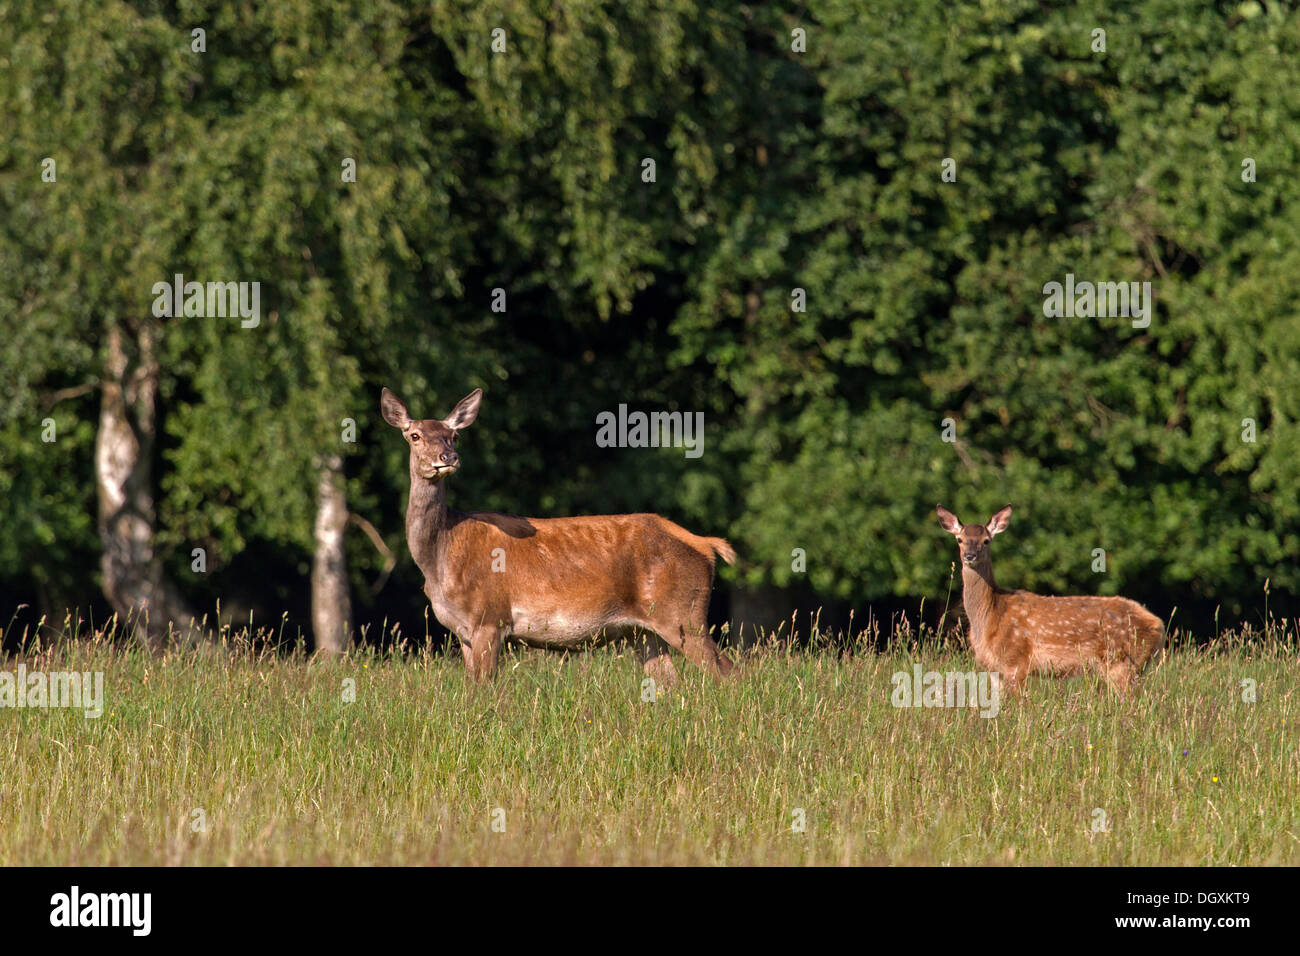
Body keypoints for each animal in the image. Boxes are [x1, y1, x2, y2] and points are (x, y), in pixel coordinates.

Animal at [379, 390, 738, 686]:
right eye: (414, 435)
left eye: (454, 436)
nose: (448, 458)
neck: (439, 559)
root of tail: (706, 545)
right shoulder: (464, 632)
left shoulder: (489, 618)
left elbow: (484, 689)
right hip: (644, 630)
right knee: (668, 682)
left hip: (684, 614)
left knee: (728, 671)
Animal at [935, 509, 1170, 697]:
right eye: (959, 539)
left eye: (986, 540)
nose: (969, 555)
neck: (991, 614)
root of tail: (1158, 625)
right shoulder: (993, 668)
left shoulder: (1016, 659)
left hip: (1121, 661)